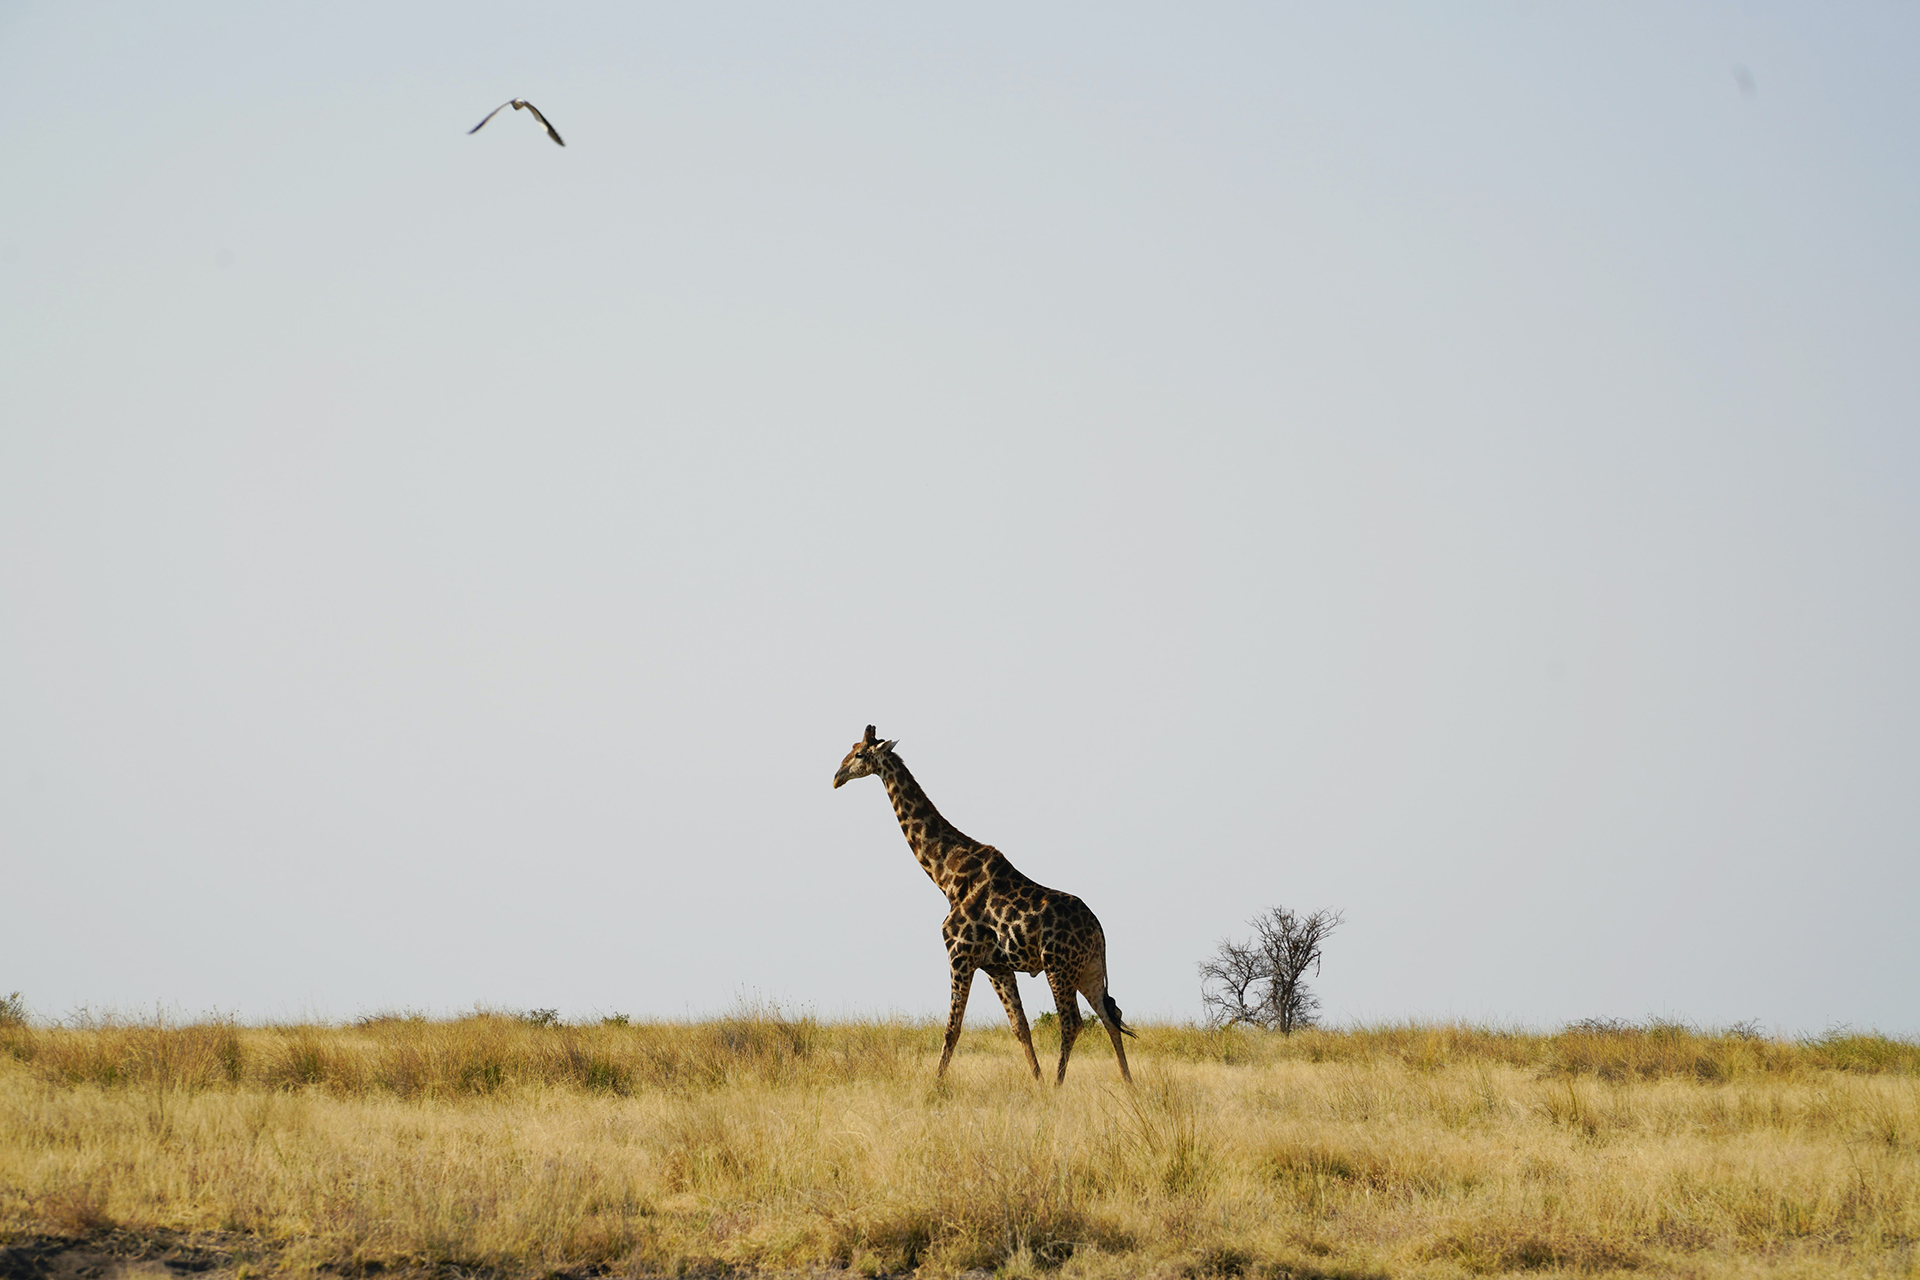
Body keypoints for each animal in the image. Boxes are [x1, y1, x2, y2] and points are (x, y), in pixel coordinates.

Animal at [833, 725, 1135, 1084]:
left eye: (859, 754)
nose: (836, 777)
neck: (946, 875)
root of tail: (1099, 931)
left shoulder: (960, 955)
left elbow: (952, 1028)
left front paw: (935, 1085)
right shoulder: (997, 966)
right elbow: (1020, 1027)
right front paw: (1037, 1082)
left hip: (1058, 965)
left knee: (1072, 1021)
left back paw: (1060, 1086)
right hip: (1088, 968)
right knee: (1109, 1015)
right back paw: (1128, 1084)